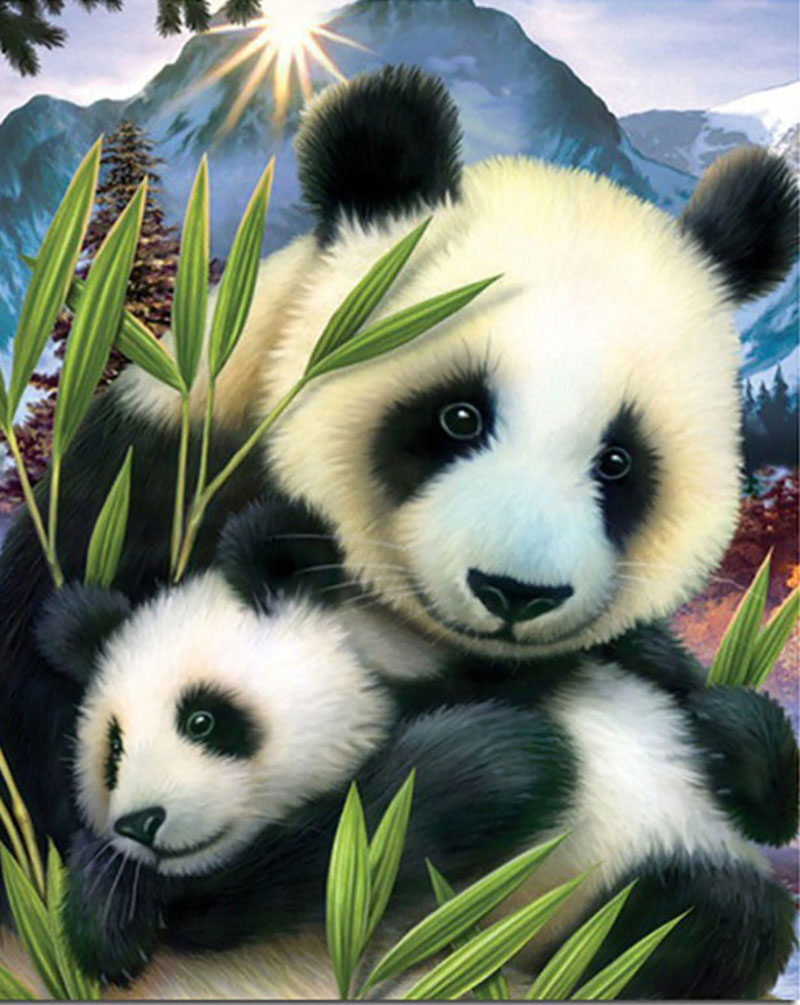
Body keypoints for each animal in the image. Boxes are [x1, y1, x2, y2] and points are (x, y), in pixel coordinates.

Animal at [0, 64, 797, 998]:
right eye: (458, 415)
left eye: (619, 462)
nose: (515, 592)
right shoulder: (149, 475)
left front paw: (728, 732)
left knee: (705, 916)